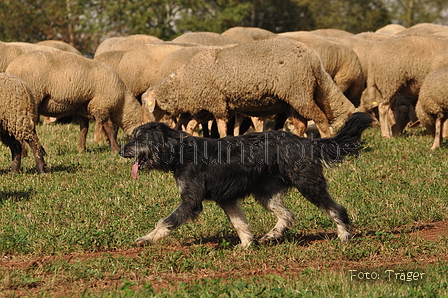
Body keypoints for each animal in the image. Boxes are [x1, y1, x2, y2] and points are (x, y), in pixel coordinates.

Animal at [5, 49, 142, 152]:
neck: (122, 102)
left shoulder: (83, 108)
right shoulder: (101, 106)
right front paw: (116, 150)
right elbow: (110, 130)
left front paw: (82, 149)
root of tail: (10, 68)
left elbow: (84, 130)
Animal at [120, 112, 374, 247]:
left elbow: (165, 222)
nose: (122, 151)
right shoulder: (227, 198)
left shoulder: (191, 201)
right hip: (266, 193)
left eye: (139, 138)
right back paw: (272, 234)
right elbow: (239, 223)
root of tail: (306, 142)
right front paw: (246, 245)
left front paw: (146, 238)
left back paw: (343, 235)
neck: (180, 150)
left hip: (308, 185)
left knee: (336, 208)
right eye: (132, 136)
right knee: (287, 215)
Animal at [142, 37, 356, 139]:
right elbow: (192, 125)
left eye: (145, 104)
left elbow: (221, 129)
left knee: (320, 118)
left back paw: (325, 140)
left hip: (299, 93)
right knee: (302, 124)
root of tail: (313, 58)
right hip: (295, 97)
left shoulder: (217, 104)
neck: (184, 82)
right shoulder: (207, 108)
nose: (141, 127)